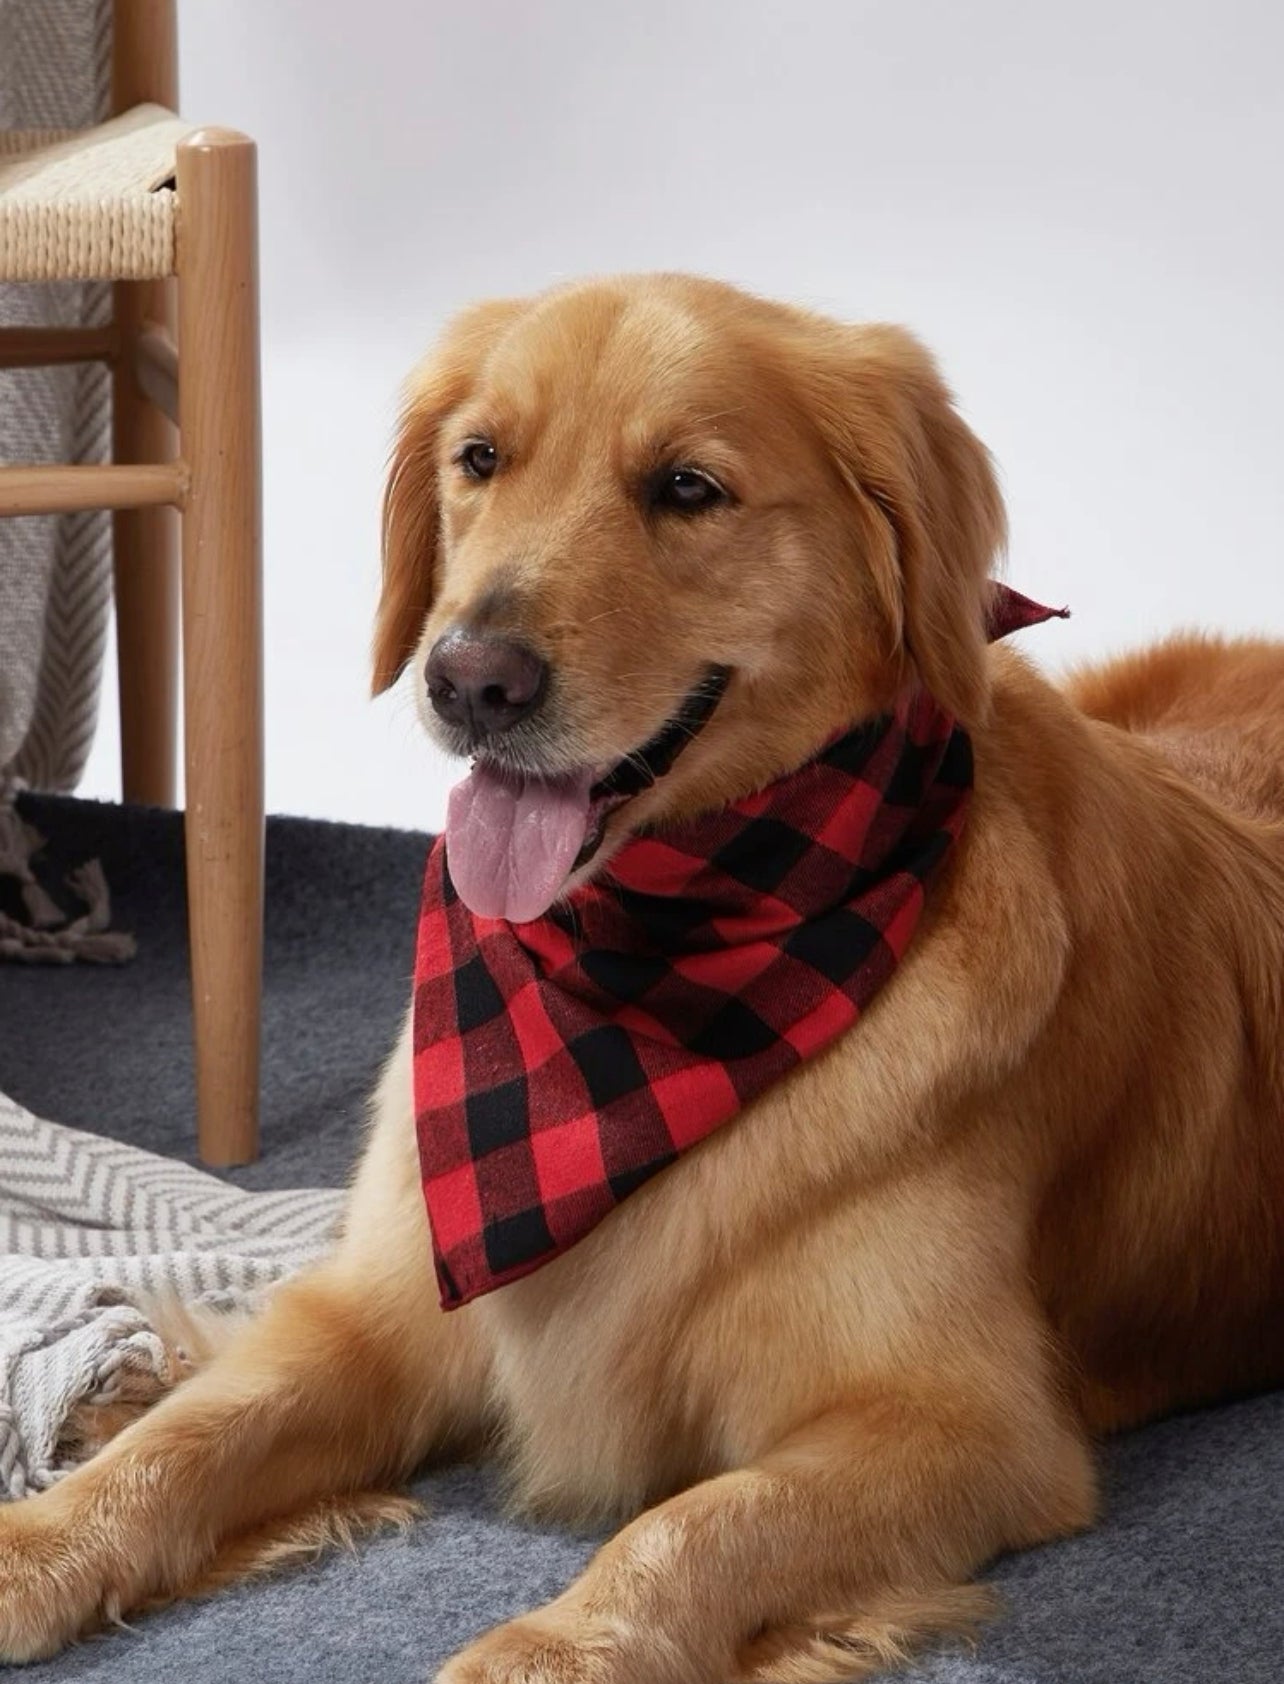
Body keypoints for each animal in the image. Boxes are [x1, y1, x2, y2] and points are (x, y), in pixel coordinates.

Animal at [2, 269, 1280, 1677]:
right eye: (481, 460)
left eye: (688, 487)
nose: (470, 679)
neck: (644, 977)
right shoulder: (383, 1308)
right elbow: (194, 1435)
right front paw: (40, 1536)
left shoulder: (966, 1421)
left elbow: (707, 1517)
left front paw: (563, 1645)